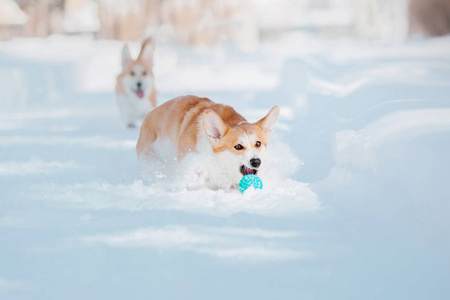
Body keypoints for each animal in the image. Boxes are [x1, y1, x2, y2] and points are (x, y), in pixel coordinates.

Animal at [135, 96, 280, 190]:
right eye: (238, 146)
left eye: (258, 143)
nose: (256, 162)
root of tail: (150, 114)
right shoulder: (190, 157)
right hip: (149, 157)